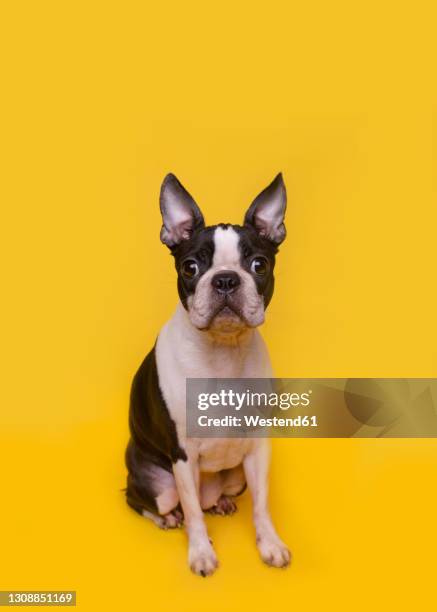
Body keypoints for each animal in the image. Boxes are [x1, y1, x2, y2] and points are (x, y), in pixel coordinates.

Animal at [125, 172, 290, 572]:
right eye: (190, 267)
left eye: (259, 265)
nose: (226, 279)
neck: (222, 353)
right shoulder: (183, 454)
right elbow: (193, 515)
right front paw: (201, 553)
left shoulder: (259, 447)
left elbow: (262, 504)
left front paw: (270, 544)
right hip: (158, 483)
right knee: (147, 501)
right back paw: (168, 518)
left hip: (235, 478)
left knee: (210, 501)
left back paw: (221, 502)